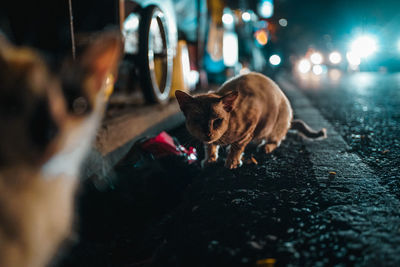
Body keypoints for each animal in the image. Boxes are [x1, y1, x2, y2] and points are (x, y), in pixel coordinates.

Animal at [177, 73, 326, 170]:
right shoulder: (210, 141)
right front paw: (210, 160)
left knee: (276, 140)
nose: (208, 133)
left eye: (218, 120)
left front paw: (232, 162)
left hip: (276, 124)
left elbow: (237, 146)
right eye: (197, 120)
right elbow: (210, 147)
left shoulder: (251, 124)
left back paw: (265, 147)